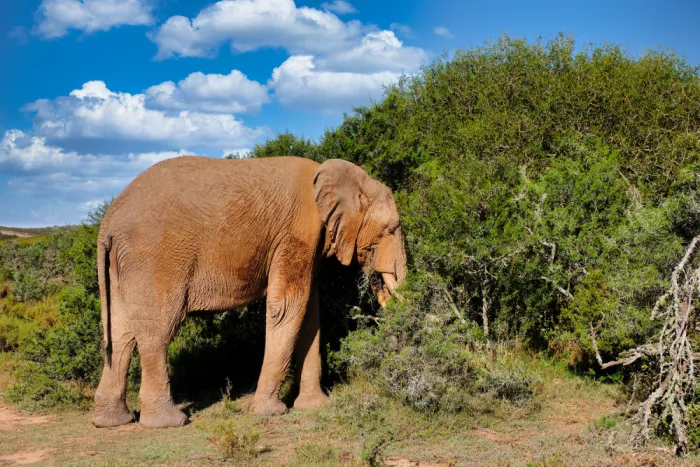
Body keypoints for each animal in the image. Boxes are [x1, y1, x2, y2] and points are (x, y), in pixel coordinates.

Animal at [92, 156, 407, 428]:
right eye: (391, 229)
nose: (377, 280)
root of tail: (107, 223)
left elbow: (310, 313)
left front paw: (315, 406)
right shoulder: (297, 233)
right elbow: (288, 306)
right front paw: (269, 412)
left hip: (123, 263)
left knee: (121, 335)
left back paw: (111, 421)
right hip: (154, 258)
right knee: (158, 332)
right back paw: (170, 422)